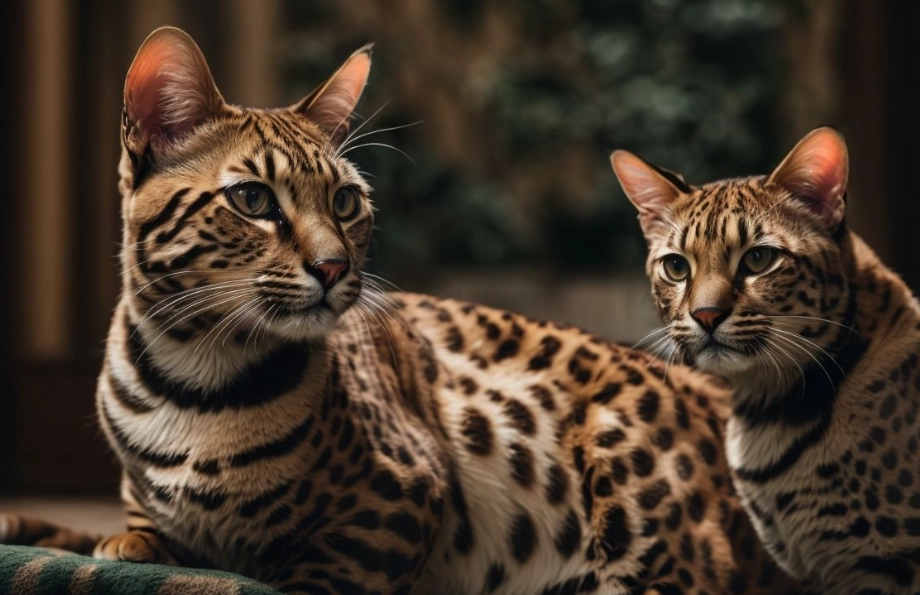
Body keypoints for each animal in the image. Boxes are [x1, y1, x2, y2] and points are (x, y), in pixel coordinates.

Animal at [1, 26, 804, 595]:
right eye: (253, 199)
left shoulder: (399, 499)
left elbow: (307, 572)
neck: (192, 371)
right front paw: (100, 538)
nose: (333, 268)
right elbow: (124, 533)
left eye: (345, 202)